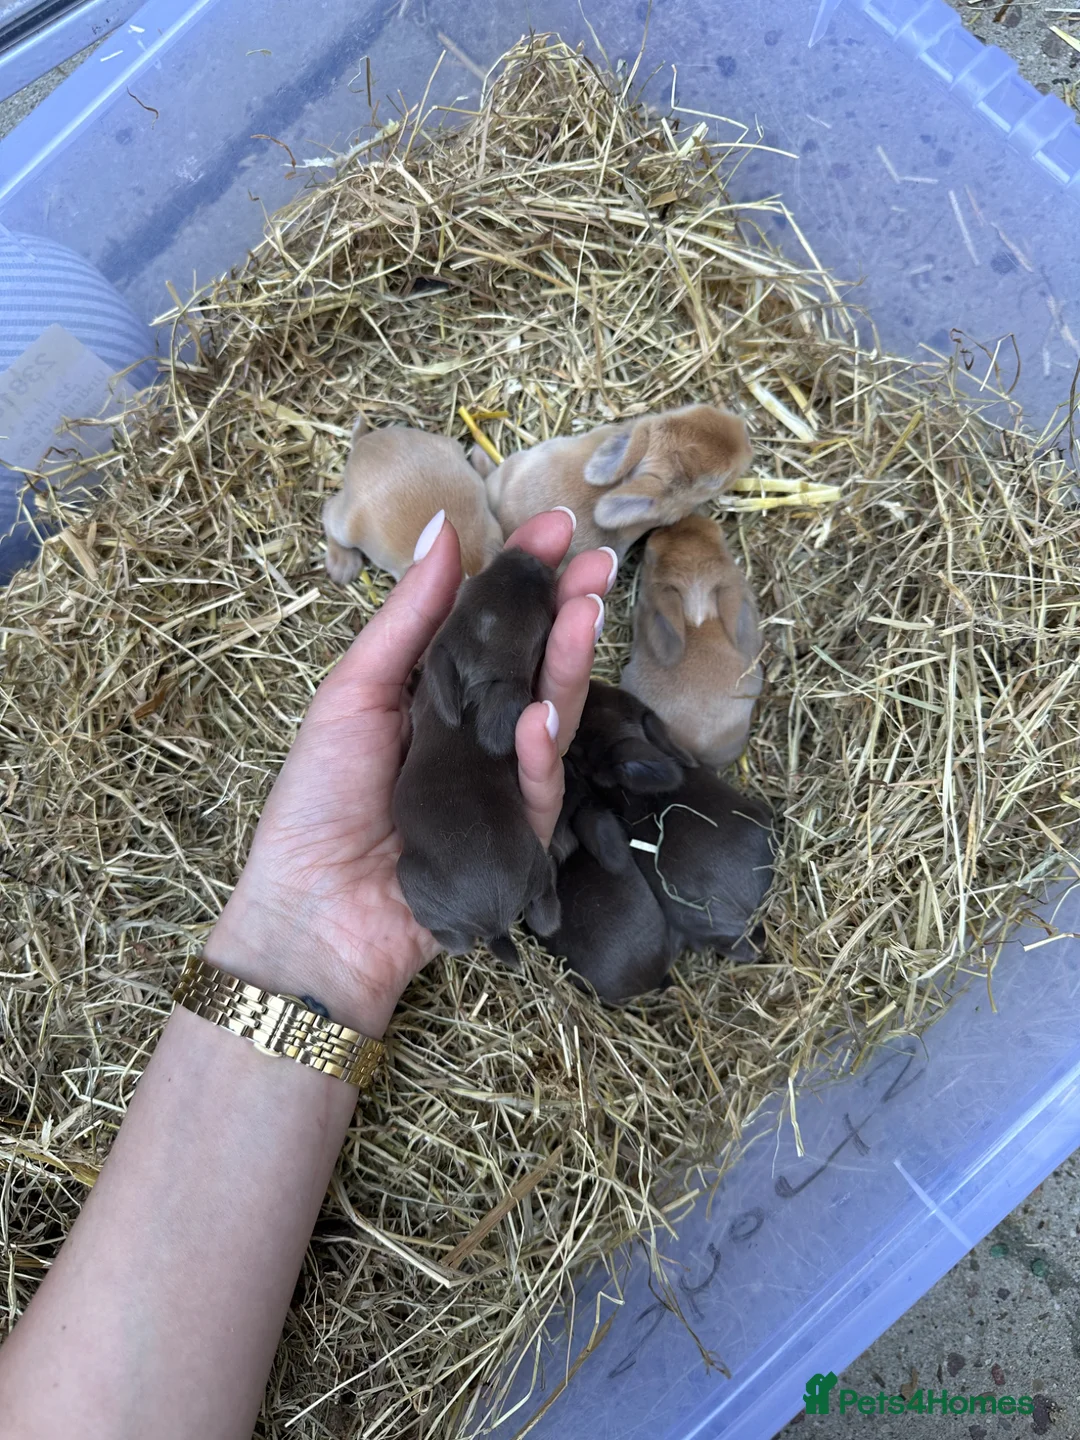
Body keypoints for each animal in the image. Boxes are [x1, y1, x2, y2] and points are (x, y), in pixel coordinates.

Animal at [392, 549, 560, 964]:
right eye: (474, 584)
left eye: (544, 627)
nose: (529, 557)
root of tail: (495, 920)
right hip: (535, 868)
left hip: (410, 880)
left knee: (458, 942)